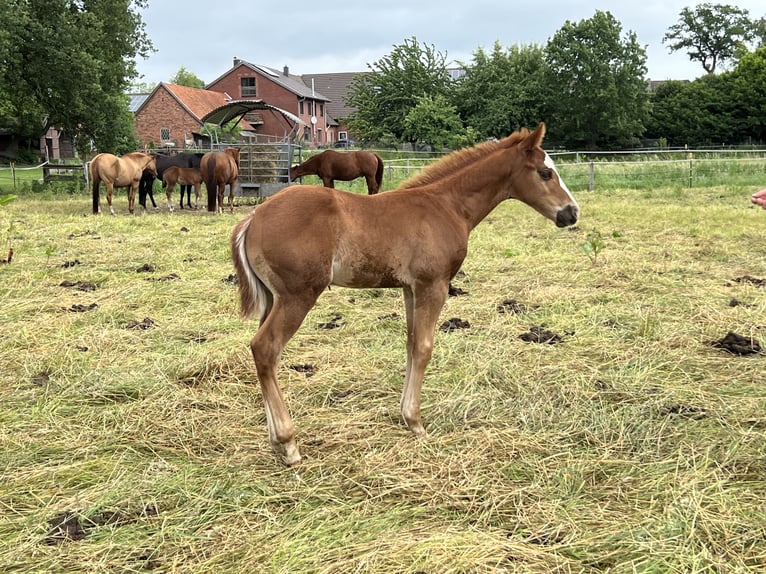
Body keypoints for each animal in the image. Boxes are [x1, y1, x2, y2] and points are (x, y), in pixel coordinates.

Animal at [230, 123, 579, 466]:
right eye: (545, 173)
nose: (571, 213)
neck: (447, 205)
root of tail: (253, 218)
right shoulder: (433, 285)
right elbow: (424, 348)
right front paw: (416, 422)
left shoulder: (411, 289)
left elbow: (411, 345)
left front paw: (405, 416)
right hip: (298, 295)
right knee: (266, 348)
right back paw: (288, 443)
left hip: (274, 298)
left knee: (262, 354)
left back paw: (275, 440)